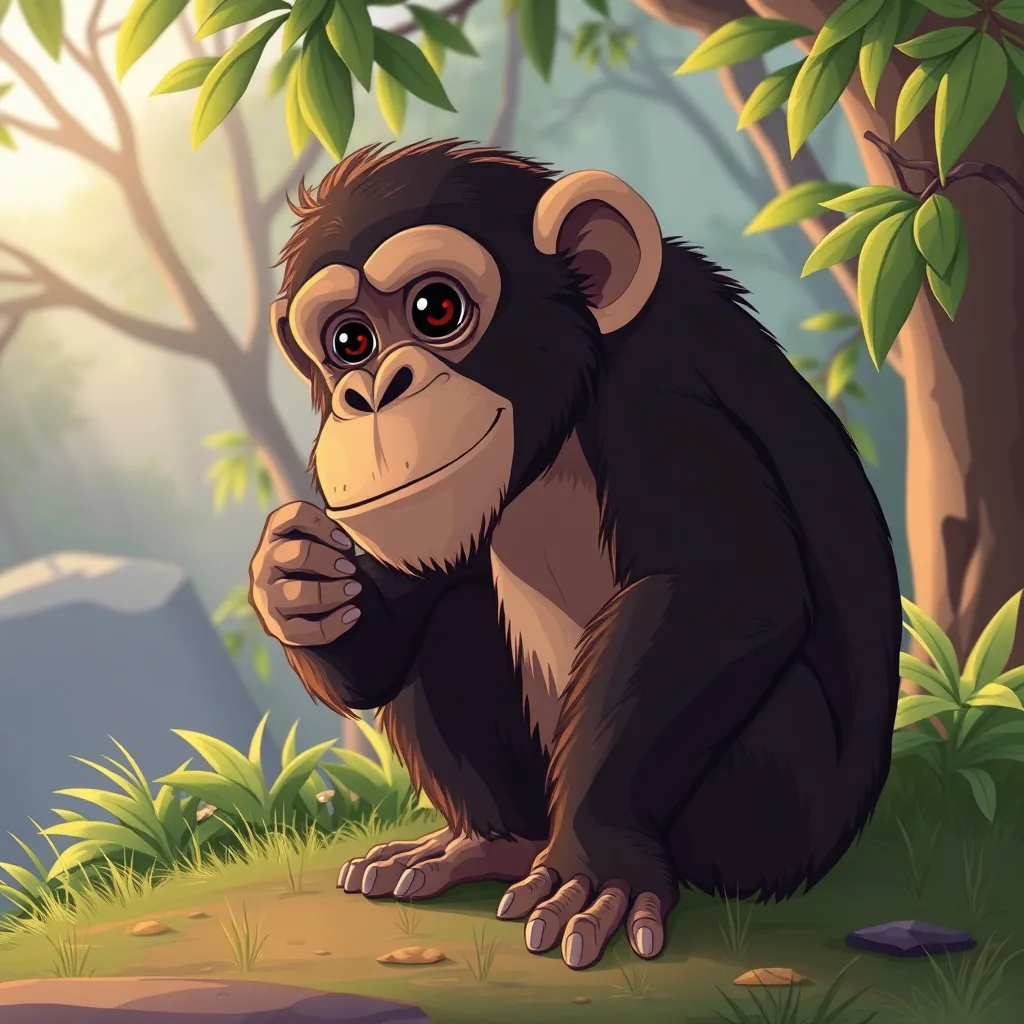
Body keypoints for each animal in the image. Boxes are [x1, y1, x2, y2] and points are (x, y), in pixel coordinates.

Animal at [248, 140, 903, 972]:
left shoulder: (660, 399)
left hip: (778, 814)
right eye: (349, 342)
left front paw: (598, 863)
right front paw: (291, 582)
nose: (372, 392)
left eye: (436, 309)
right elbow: (390, 638)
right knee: (453, 616)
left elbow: (726, 588)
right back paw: (482, 845)